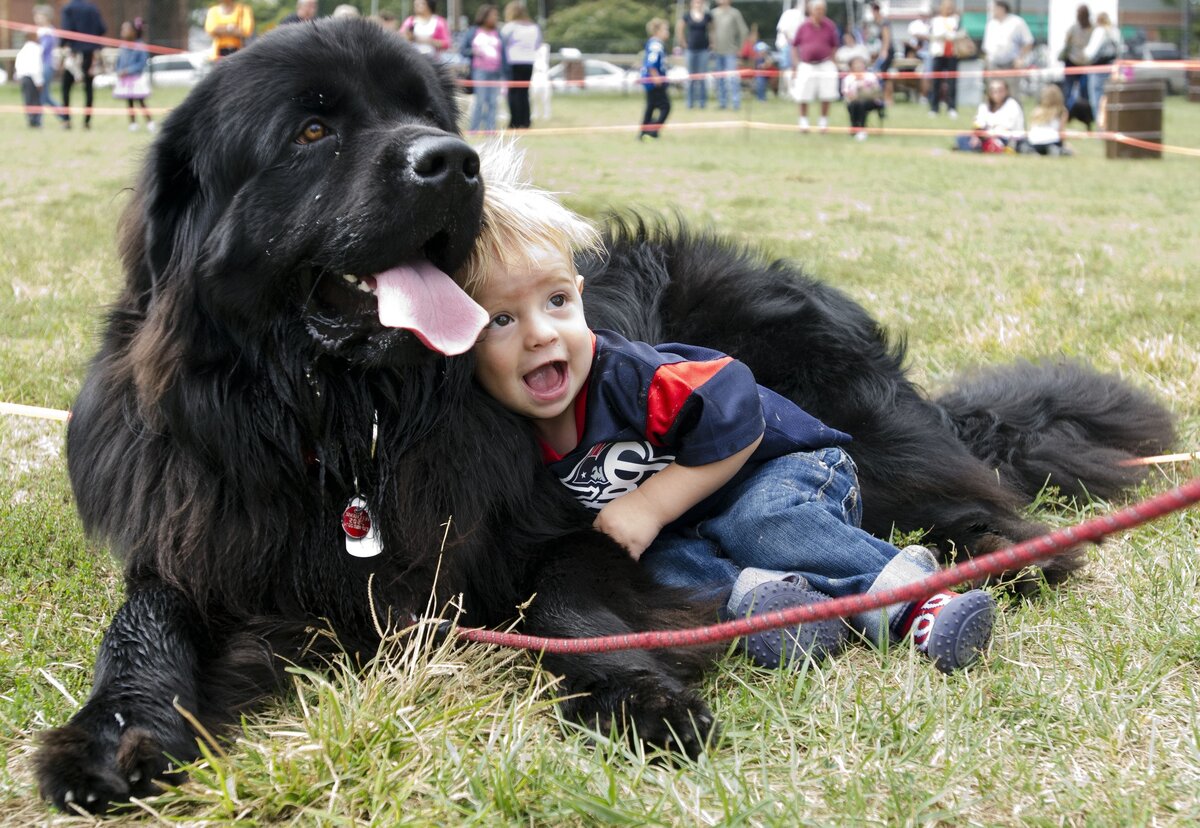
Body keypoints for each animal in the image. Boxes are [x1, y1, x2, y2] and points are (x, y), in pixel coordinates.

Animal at [35, 19, 1171, 811]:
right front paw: (108, 738)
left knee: (953, 495)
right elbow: (143, 620)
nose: (452, 159)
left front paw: (639, 699)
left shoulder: (558, 529)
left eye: (428, 109)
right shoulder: (206, 536)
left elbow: (566, 601)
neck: (353, 427)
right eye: (313, 130)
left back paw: (984, 563)